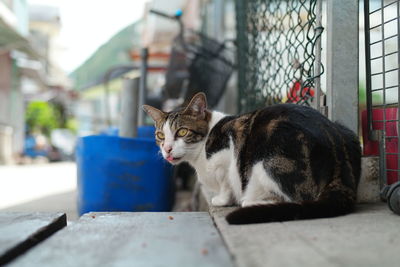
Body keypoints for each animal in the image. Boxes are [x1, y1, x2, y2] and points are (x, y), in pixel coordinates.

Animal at [144, 93, 362, 225]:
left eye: (182, 131)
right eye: (160, 136)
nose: (167, 149)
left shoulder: (227, 154)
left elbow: (226, 183)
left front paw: (222, 200)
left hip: (266, 156)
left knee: (295, 199)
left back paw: (251, 201)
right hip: (348, 133)